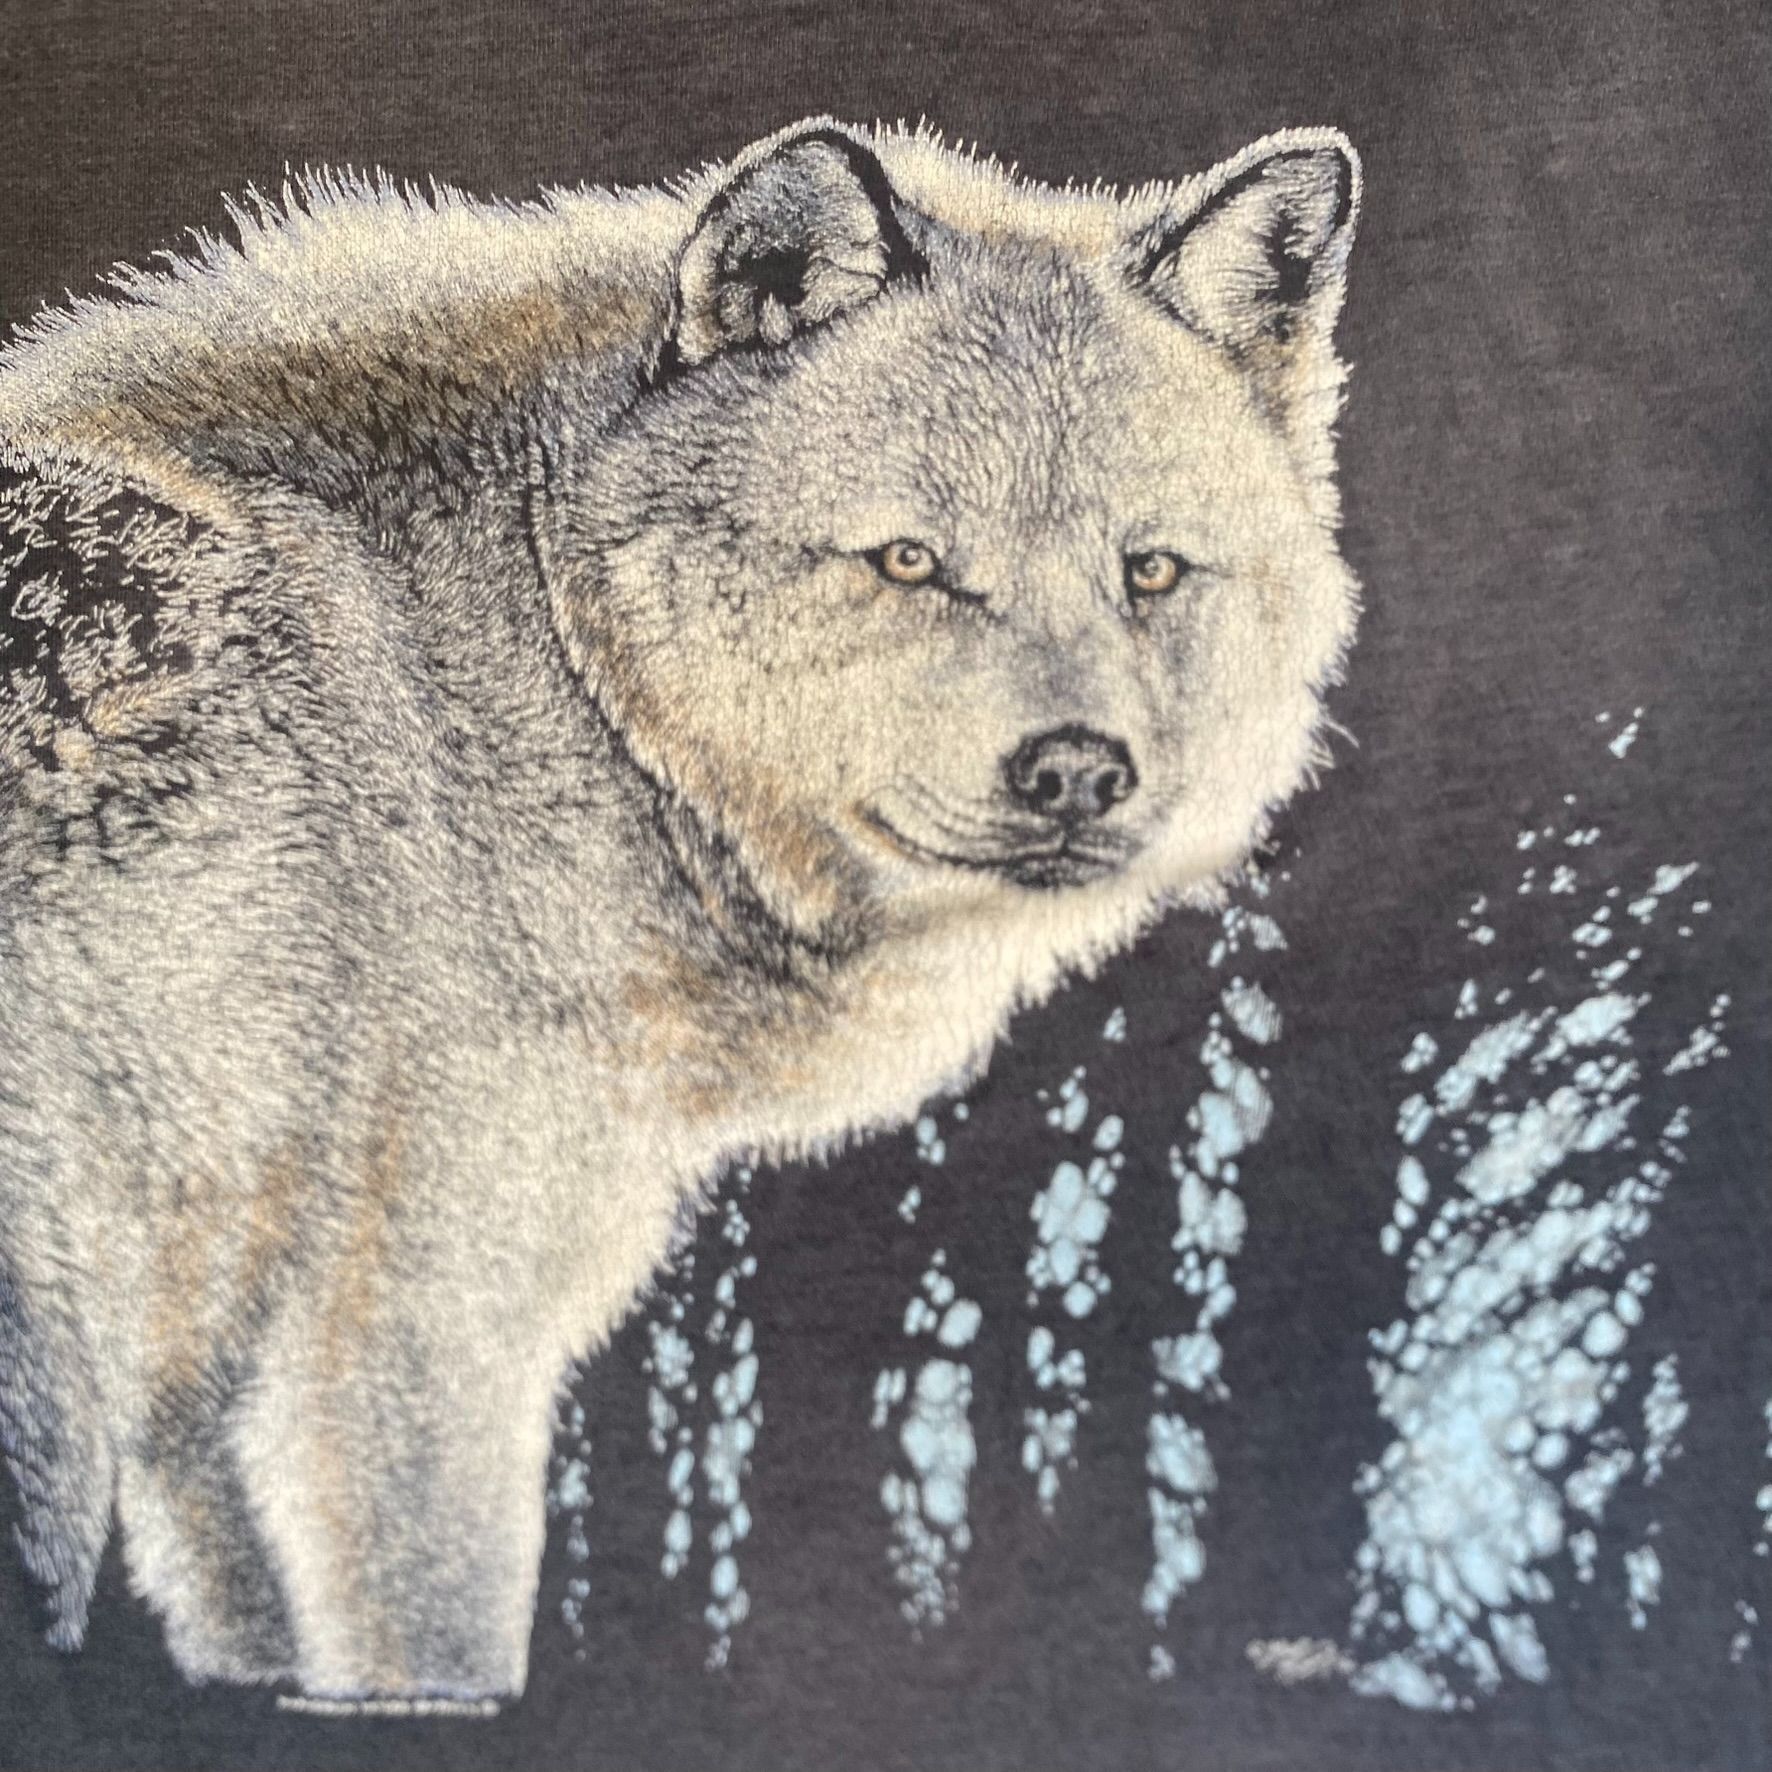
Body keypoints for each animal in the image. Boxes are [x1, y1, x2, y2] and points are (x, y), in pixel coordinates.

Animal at [0, 116, 1362, 1699]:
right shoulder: (402, 1354)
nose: (1078, 771)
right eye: (909, 561)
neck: (547, 664)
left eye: (1149, 571)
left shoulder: (211, 1415)